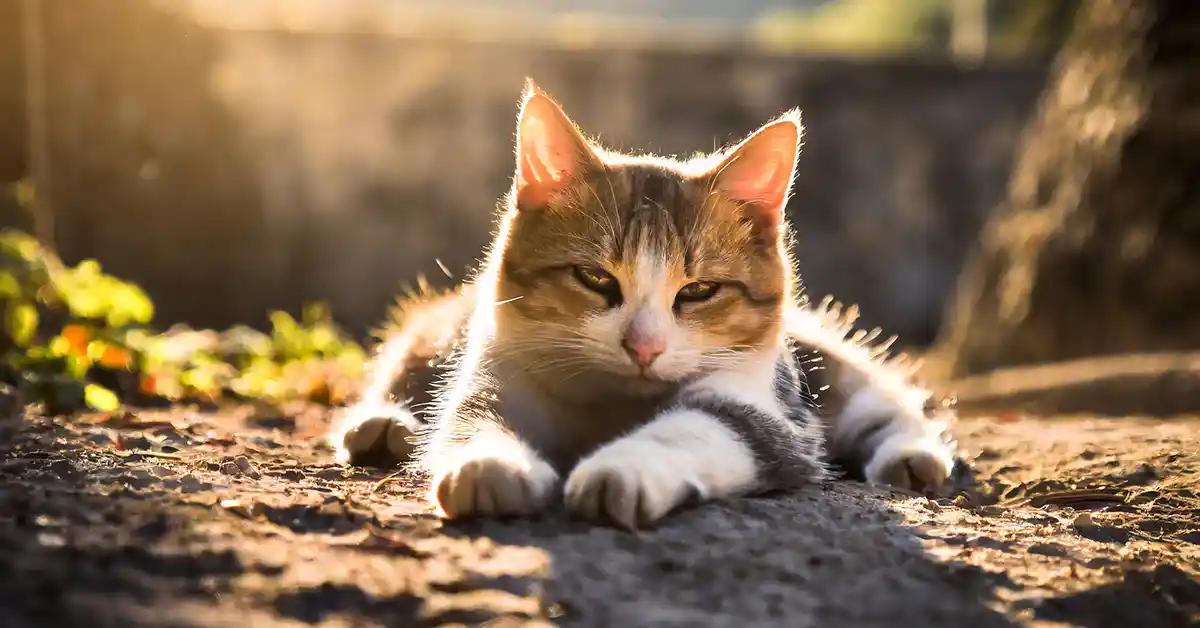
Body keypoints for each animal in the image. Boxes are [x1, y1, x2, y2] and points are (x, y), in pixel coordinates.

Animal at [331, 79, 964, 530]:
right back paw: (384, 425)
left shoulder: (763, 411)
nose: (644, 346)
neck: (612, 403)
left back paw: (913, 455)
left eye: (699, 290)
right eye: (594, 278)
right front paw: (489, 464)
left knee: (873, 395)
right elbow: (472, 418)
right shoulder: (496, 373)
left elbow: (693, 430)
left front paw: (621, 469)